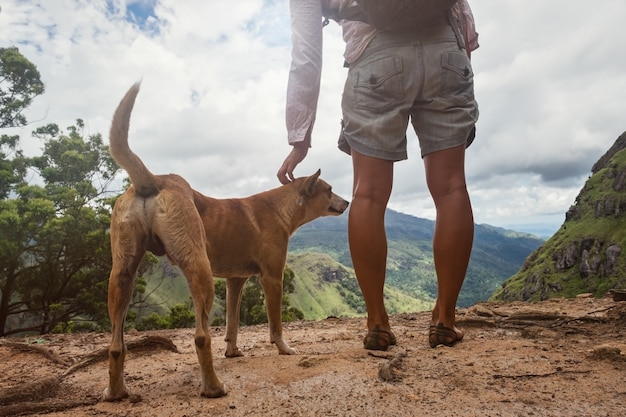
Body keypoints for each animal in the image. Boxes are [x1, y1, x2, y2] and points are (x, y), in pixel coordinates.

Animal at [102, 82, 346, 400]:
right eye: (329, 189)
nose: (347, 202)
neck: (281, 208)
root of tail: (154, 180)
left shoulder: (235, 280)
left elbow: (232, 323)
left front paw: (232, 351)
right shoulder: (272, 277)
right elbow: (275, 323)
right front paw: (284, 348)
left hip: (122, 275)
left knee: (116, 344)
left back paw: (115, 391)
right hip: (199, 268)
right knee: (201, 336)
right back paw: (213, 387)